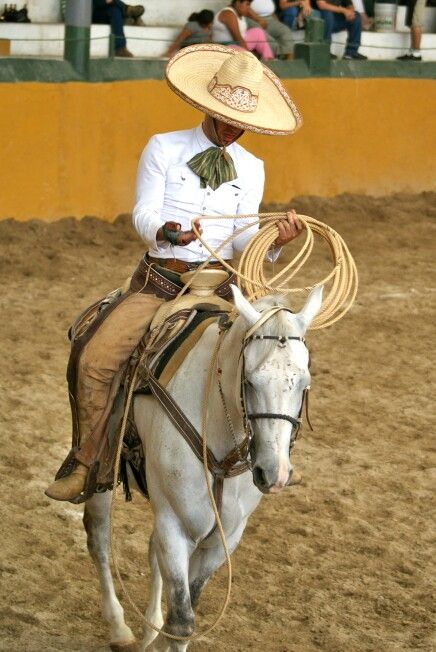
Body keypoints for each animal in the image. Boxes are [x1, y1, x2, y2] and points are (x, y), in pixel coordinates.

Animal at [82, 286, 324, 652]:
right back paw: (120, 628)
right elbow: (182, 620)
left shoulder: (223, 539)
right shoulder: (175, 525)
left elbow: (184, 609)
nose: (275, 474)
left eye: (304, 382)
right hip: (101, 474)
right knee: (98, 536)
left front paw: (157, 639)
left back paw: (149, 629)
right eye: (250, 381)